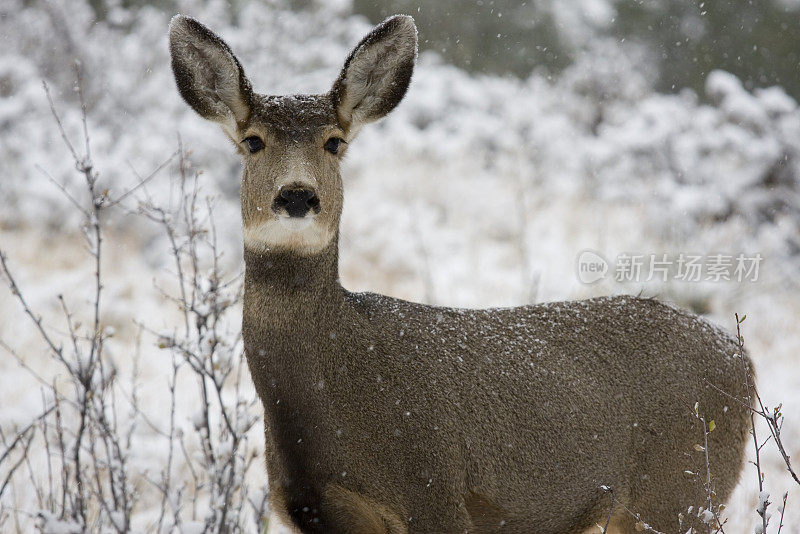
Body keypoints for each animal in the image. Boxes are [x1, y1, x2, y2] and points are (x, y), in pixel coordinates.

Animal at [169, 12, 756, 534]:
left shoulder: (435, 492)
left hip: (681, 491)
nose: (296, 196)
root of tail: (742, 360)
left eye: (335, 141)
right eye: (253, 141)